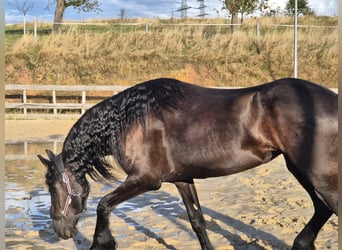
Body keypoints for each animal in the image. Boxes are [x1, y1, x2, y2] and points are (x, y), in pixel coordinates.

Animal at [38, 77, 338, 249]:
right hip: (301, 169)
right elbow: (197, 222)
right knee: (322, 208)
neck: (130, 120)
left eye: (52, 187)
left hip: (317, 173)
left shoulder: (147, 180)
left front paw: (103, 242)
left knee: (329, 207)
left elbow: (103, 205)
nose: (60, 231)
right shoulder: (182, 179)